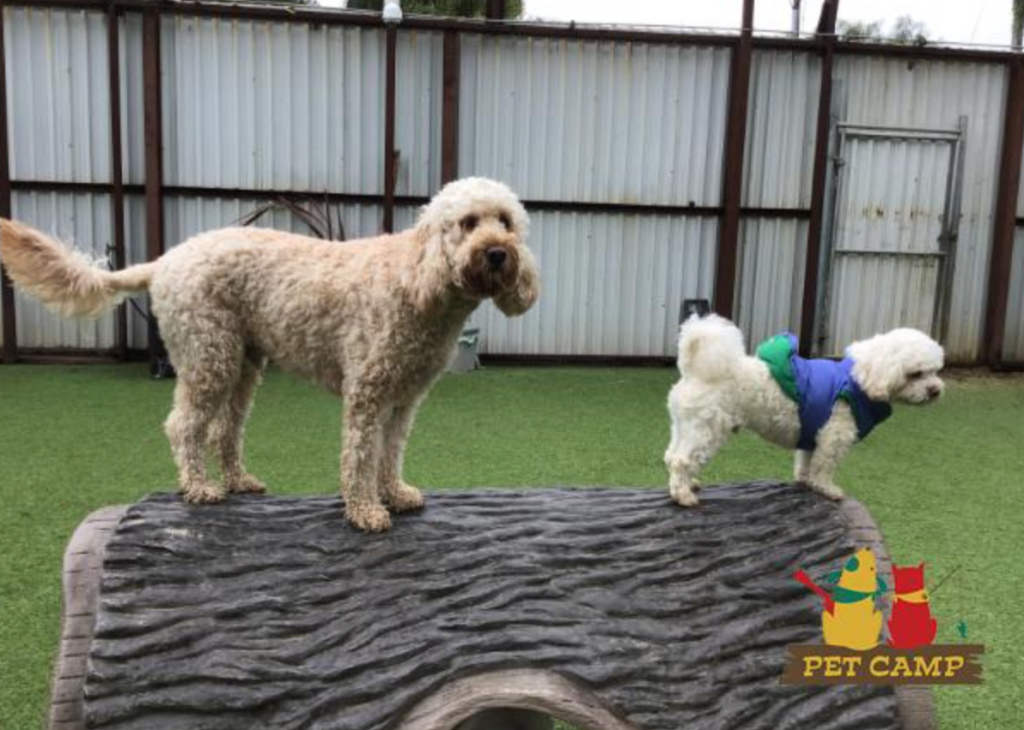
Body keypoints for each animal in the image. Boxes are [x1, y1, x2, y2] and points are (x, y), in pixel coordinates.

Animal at [0, 176, 540, 528]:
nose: (498, 252)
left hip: (243, 364)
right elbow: (361, 455)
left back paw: (239, 481)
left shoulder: (404, 397)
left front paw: (395, 493)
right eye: (467, 223)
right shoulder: (367, 393)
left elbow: (390, 452)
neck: (416, 280)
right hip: (208, 356)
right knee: (185, 426)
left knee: (225, 429)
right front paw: (366, 510)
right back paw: (200, 487)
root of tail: (166, 259)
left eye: (506, 222)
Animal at [663, 313, 942, 507]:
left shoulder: (814, 432)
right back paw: (683, 495)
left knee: (671, 455)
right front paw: (828, 489)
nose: (936, 390)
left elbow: (807, 461)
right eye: (916, 374)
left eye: (935, 371)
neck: (859, 378)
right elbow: (825, 466)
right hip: (708, 429)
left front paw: (805, 481)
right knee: (681, 460)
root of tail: (694, 370)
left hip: (684, 426)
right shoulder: (835, 435)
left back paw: (688, 484)